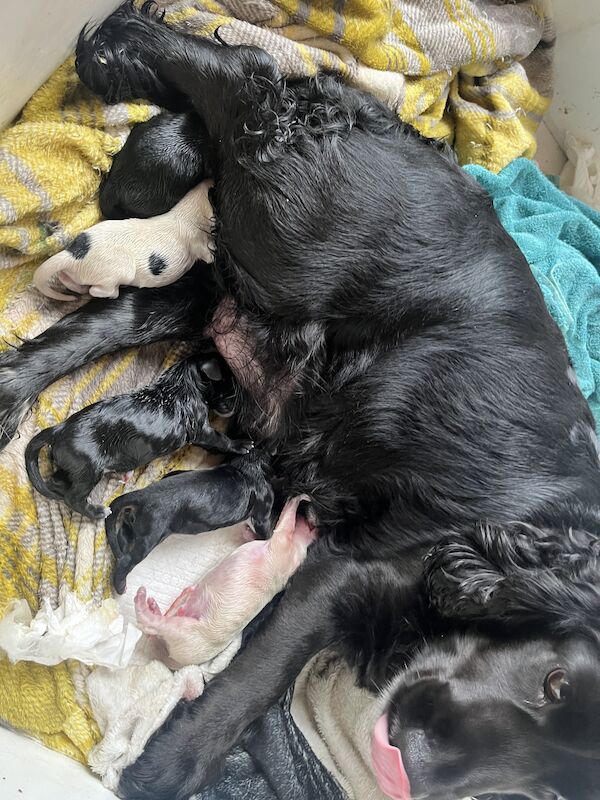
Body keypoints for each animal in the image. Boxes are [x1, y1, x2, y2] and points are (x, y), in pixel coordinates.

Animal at [32, 180, 214, 302]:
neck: (190, 209)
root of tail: (74, 254)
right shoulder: (197, 243)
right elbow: (208, 255)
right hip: (120, 269)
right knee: (98, 291)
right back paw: (116, 290)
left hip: (77, 272)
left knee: (67, 278)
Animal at [105, 450, 274, 592]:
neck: (248, 466)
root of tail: (143, 495)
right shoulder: (262, 513)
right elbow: (265, 532)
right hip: (149, 537)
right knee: (126, 562)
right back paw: (121, 587)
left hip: (133, 526)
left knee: (123, 539)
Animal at [135, 496, 314, 664]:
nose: (308, 515)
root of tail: (172, 656)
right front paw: (247, 530)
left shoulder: (282, 546)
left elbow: (284, 523)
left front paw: (298, 498)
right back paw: (157, 605)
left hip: (186, 634)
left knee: (154, 625)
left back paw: (142, 598)